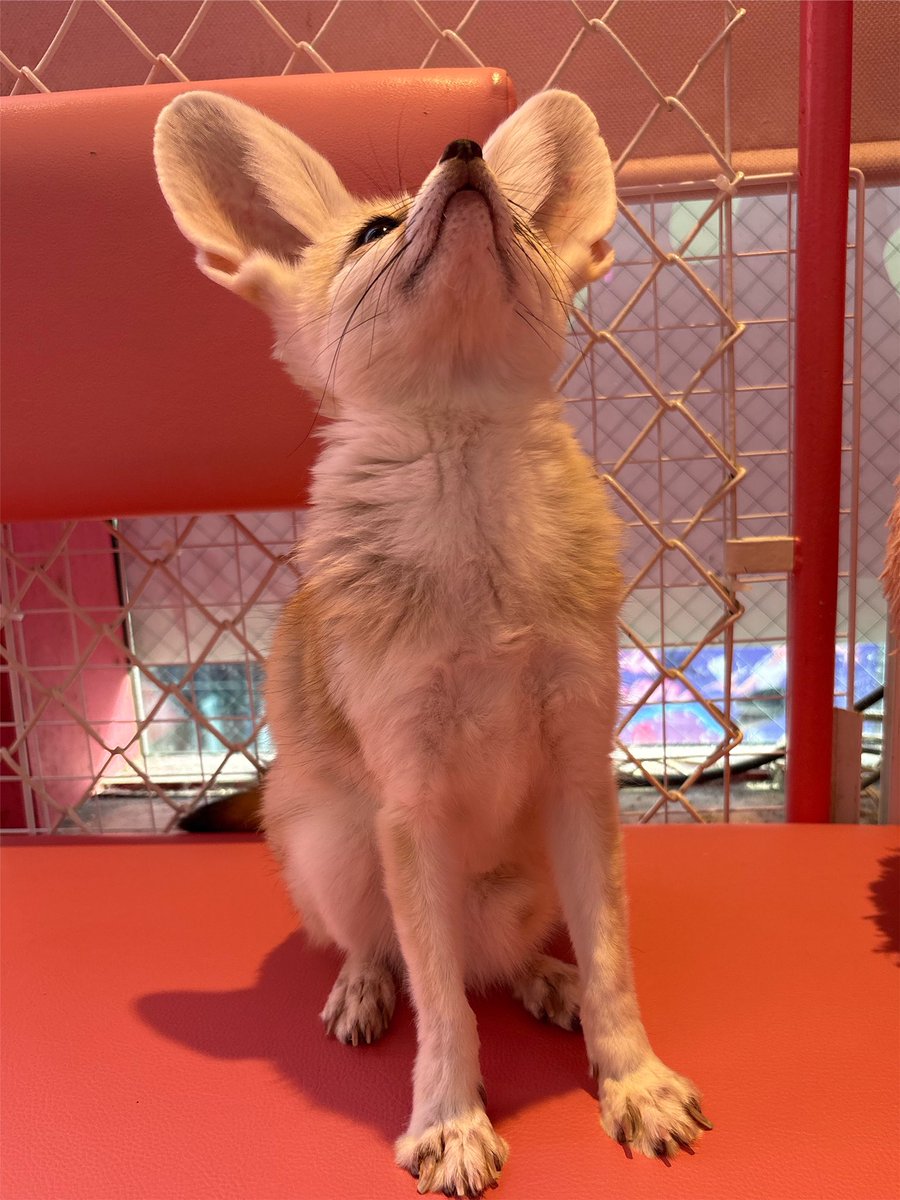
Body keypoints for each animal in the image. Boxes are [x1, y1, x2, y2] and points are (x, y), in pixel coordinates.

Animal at [154, 86, 711, 1197]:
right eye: (375, 231)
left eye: (527, 219)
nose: (465, 156)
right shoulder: (409, 803)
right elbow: (443, 1002)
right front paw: (448, 1117)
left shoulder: (581, 772)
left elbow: (614, 962)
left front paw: (632, 1078)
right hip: (338, 845)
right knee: (389, 949)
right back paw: (366, 987)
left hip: (529, 870)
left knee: (494, 955)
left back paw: (544, 977)